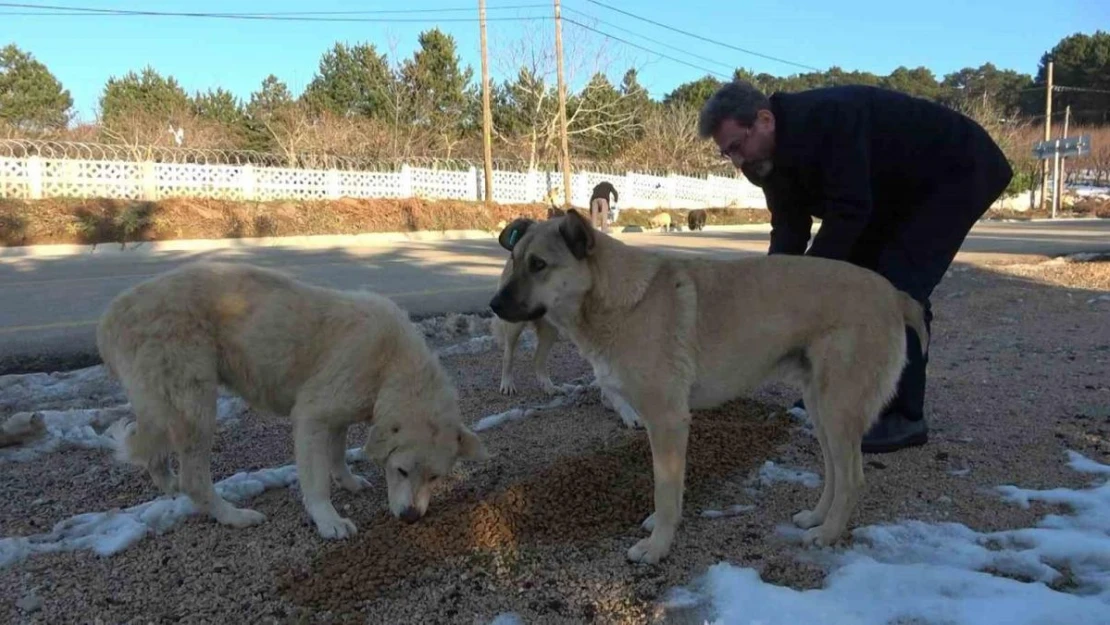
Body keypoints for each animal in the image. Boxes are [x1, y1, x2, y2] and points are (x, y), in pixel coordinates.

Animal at [97, 261, 488, 539]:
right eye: (402, 470)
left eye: (435, 477)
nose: (410, 518)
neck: (391, 364)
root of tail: (112, 313)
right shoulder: (312, 416)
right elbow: (316, 481)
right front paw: (329, 521)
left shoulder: (338, 414)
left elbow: (337, 454)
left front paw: (348, 481)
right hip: (196, 407)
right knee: (194, 479)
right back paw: (234, 516)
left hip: (168, 408)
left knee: (157, 457)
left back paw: (170, 488)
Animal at [490, 212, 923, 568]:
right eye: (515, 261)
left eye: (539, 265)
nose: (493, 305)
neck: (617, 298)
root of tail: (894, 294)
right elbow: (668, 489)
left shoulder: (668, 422)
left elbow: (665, 491)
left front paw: (657, 546)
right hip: (821, 410)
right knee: (834, 472)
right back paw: (816, 518)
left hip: (836, 410)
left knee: (852, 479)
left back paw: (829, 533)